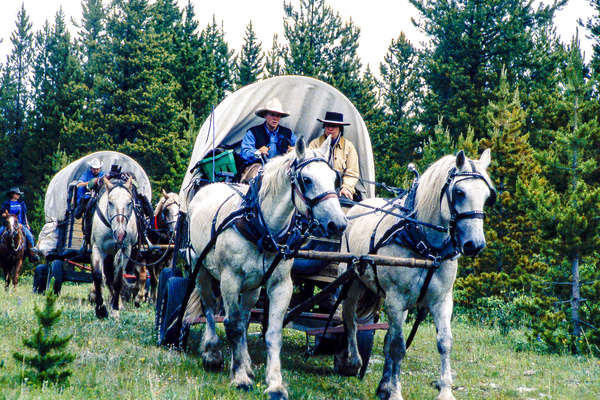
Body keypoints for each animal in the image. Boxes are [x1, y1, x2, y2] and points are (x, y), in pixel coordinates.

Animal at [89, 177, 139, 318]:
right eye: (110, 202)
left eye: (129, 203)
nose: (120, 234)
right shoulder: (97, 248)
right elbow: (98, 276)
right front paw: (100, 309)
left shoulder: (125, 249)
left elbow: (118, 279)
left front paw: (115, 309)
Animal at [188, 138, 346, 400]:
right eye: (307, 179)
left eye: (335, 179)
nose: (339, 224)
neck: (261, 227)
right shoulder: (230, 280)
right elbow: (231, 325)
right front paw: (240, 378)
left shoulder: (280, 285)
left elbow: (271, 333)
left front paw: (274, 383)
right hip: (200, 268)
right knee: (210, 308)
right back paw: (212, 353)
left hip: (252, 287)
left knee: (244, 316)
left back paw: (245, 362)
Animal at [338, 149, 496, 400]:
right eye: (459, 192)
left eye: (488, 196)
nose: (475, 244)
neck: (426, 246)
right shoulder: (395, 299)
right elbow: (397, 347)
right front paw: (395, 392)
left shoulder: (441, 300)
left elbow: (444, 342)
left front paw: (444, 391)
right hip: (353, 281)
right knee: (349, 317)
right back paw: (353, 360)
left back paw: (383, 383)